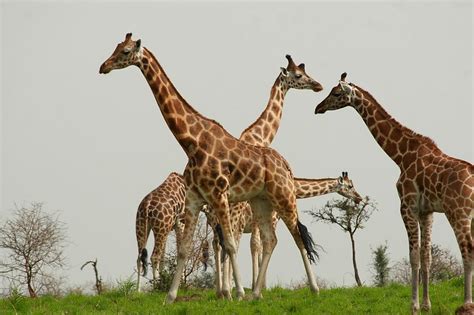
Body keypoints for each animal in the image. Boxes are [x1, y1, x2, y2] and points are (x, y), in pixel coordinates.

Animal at [100, 34, 322, 304]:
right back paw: (256, 294)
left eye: (125, 51)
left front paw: (236, 294)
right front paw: (170, 297)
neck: (191, 142)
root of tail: (287, 166)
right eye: (117, 48)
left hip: (284, 197)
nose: (103, 66)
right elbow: (186, 249)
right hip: (261, 201)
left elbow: (230, 245)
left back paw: (313, 289)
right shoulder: (196, 199)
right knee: (271, 240)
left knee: (298, 237)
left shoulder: (220, 196)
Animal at [314, 73, 474, 314]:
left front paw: (414, 306)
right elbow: (426, 256)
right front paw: (426, 305)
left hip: (458, 213)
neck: (400, 156)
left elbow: (414, 256)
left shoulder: (407, 206)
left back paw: (466, 304)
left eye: (336, 93)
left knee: (468, 251)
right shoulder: (427, 212)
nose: (318, 107)